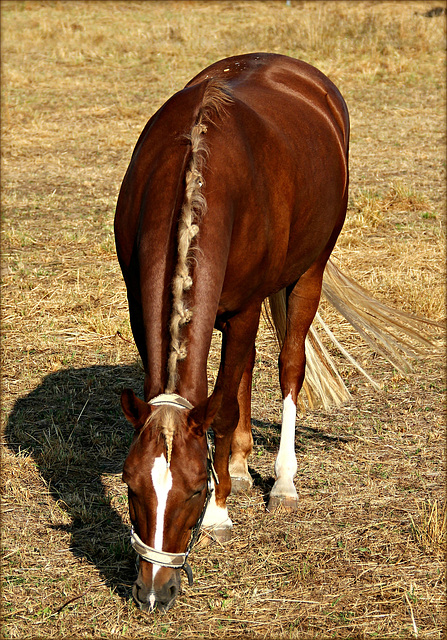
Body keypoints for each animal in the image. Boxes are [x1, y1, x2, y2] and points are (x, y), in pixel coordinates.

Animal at [114, 52, 350, 612]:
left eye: (196, 490)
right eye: (131, 487)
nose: (153, 592)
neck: (198, 172)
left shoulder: (244, 309)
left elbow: (220, 410)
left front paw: (220, 515)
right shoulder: (140, 306)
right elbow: (214, 395)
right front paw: (232, 473)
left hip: (308, 273)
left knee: (287, 366)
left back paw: (281, 482)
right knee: (236, 379)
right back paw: (241, 469)